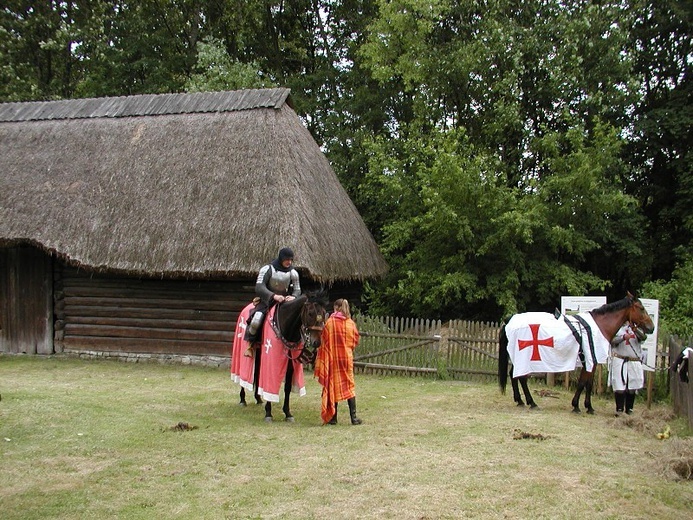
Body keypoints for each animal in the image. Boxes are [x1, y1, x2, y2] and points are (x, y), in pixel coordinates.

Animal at [231, 292, 328, 422]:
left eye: (323, 312)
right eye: (310, 313)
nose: (316, 342)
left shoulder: (291, 364)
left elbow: (287, 387)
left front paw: (287, 413)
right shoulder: (271, 359)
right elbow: (270, 383)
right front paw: (268, 413)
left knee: (257, 373)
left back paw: (258, 398)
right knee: (244, 374)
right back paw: (242, 399)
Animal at [498, 296, 656, 414]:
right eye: (641, 308)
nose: (651, 328)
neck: (599, 326)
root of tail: (509, 320)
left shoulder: (590, 361)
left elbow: (587, 383)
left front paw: (585, 406)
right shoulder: (591, 361)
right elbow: (583, 383)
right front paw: (579, 406)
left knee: (514, 375)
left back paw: (520, 400)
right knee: (521, 377)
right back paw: (532, 402)